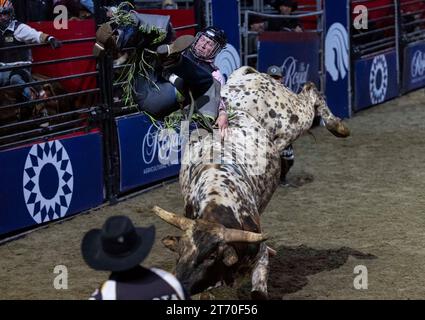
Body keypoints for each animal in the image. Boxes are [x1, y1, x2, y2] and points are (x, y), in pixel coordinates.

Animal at [152, 66, 348, 298]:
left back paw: (338, 126)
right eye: (180, 251)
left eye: (211, 256)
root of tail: (248, 75)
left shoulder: (259, 255)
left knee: (310, 92)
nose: (179, 282)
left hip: (293, 117)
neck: (217, 200)